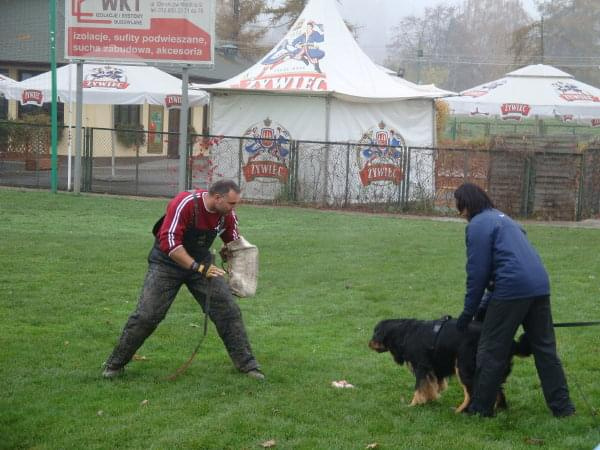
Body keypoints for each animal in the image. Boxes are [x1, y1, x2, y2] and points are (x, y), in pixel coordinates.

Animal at [366, 316, 528, 412]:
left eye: (375, 333)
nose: (368, 344)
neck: (405, 334)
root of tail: (511, 342)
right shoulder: (433, 369)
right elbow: (430, 387)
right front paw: (429, 400)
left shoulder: (421, 366)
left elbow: (419, 387)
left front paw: (413, 404)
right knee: (496, 389)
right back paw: (498, 408)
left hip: (463, 365)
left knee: (472, 392)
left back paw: (461, 411)